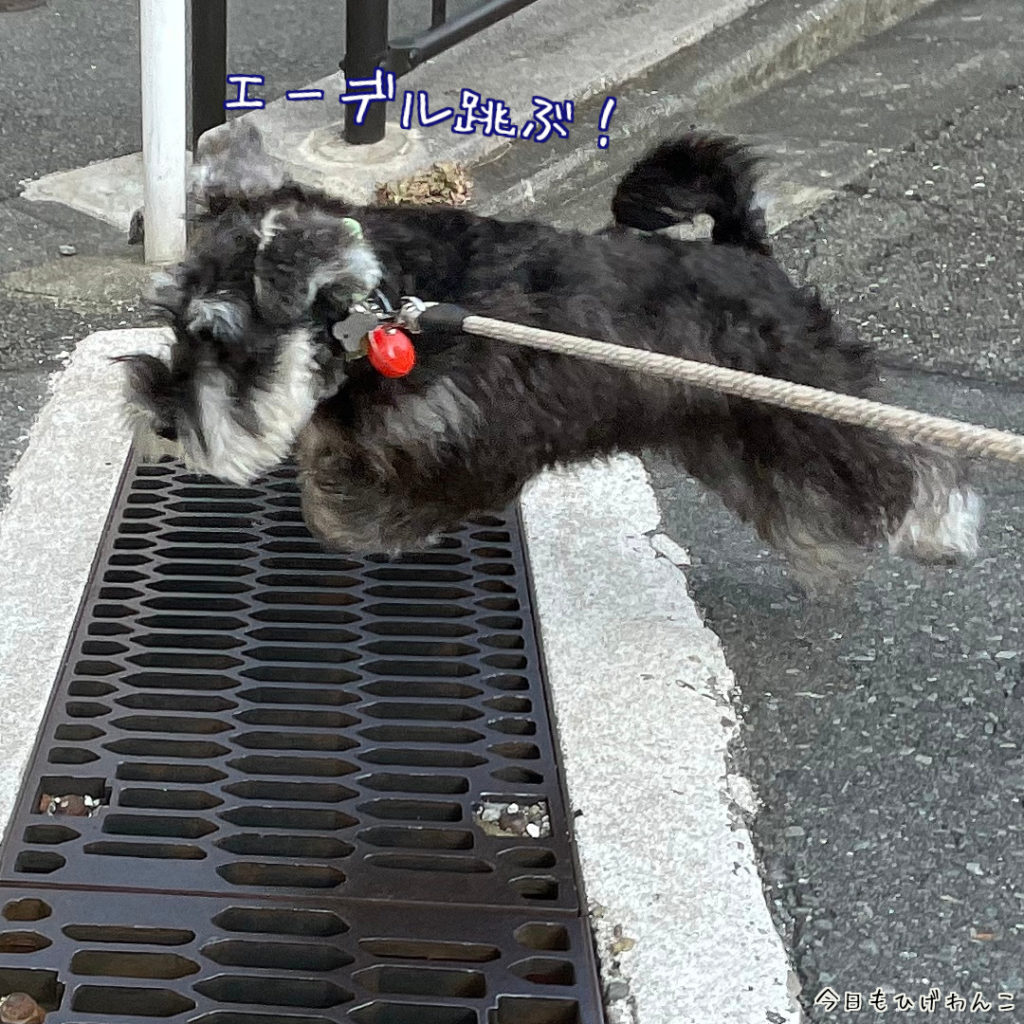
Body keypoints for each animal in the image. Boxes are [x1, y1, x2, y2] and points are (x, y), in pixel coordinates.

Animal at [119, 126, 980, 579]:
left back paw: (943, 524)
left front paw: (349, 522)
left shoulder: (475, 451)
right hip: (727, 425)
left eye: (222, 339)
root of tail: (748, 252)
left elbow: (355, 512)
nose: (160, 419)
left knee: (898, 456)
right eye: (169, 322)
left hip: (799, 396)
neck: (382, 312)